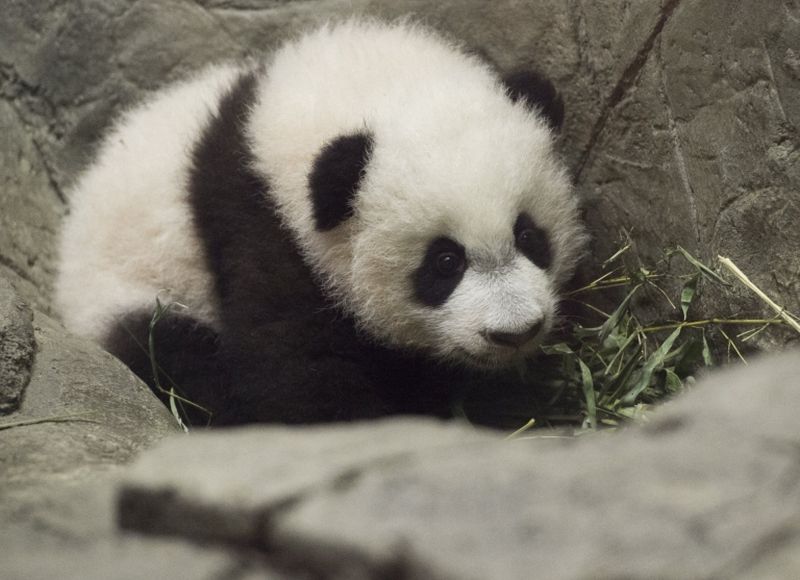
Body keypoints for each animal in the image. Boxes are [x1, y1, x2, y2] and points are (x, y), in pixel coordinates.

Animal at [56, 19, 587, 425]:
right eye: (444, 262)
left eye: (528, 235)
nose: (515, 332)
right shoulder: (259, 223)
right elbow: (294, 361)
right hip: (135, 296)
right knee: (174, 354)